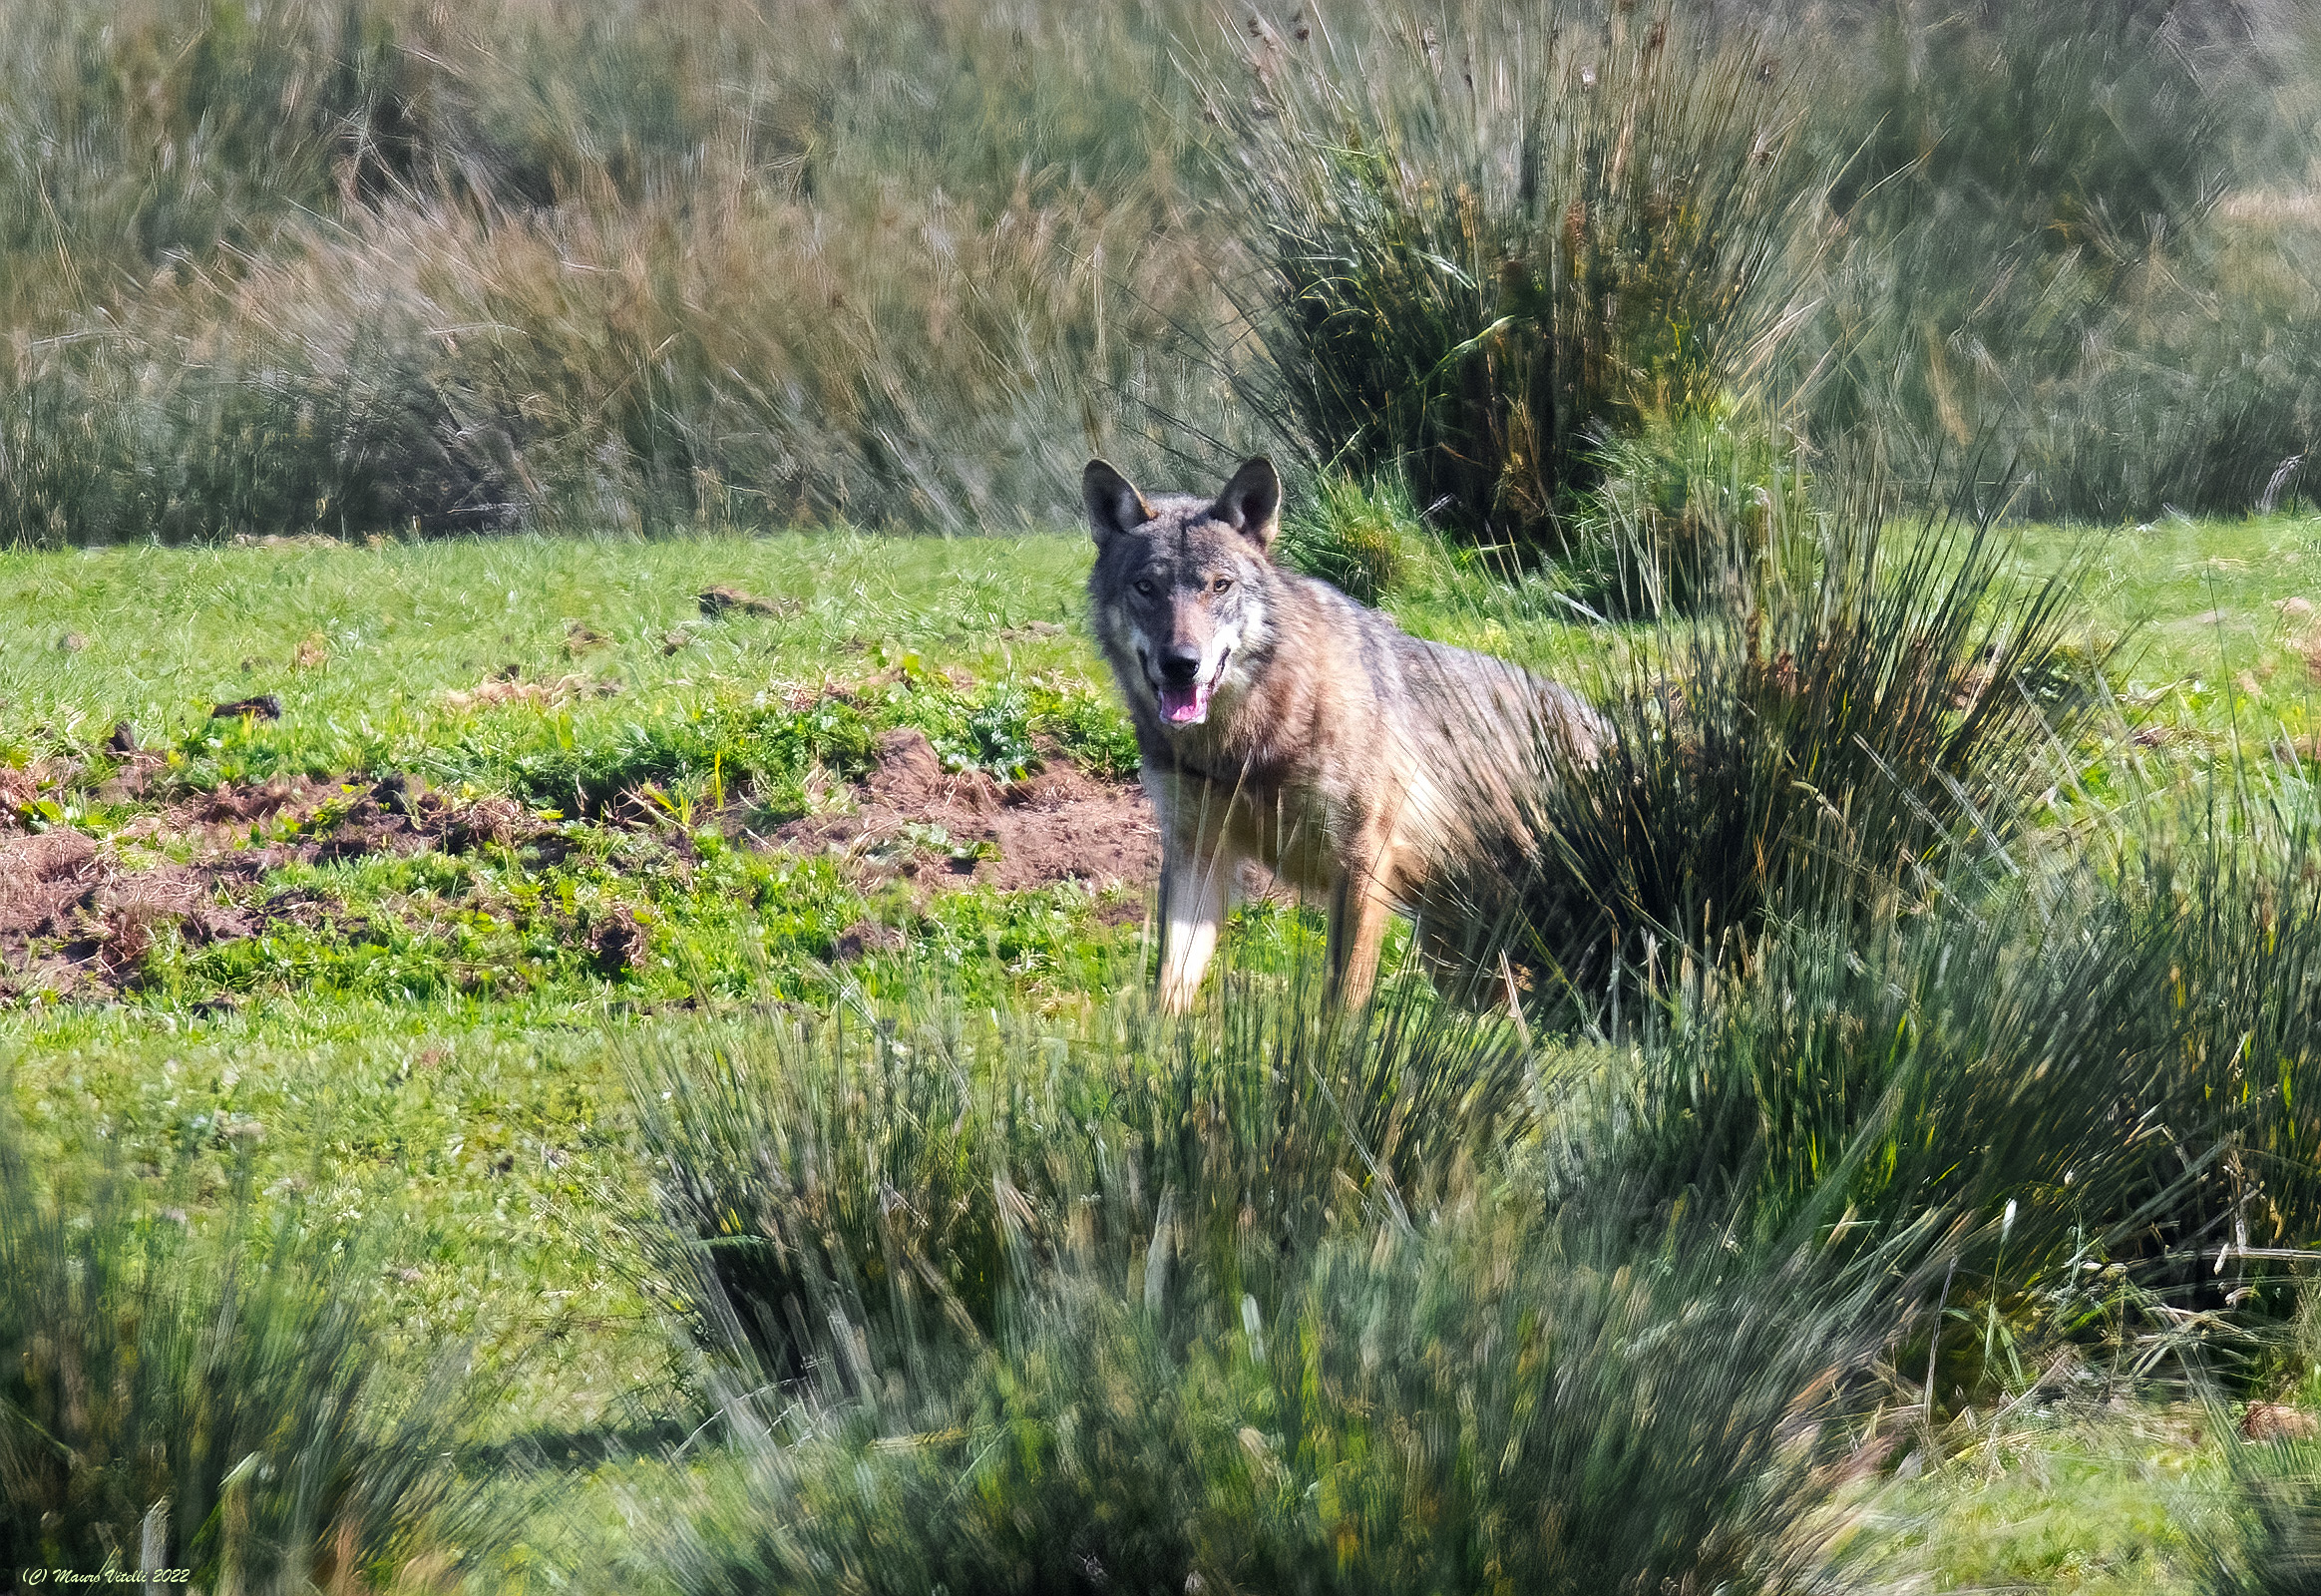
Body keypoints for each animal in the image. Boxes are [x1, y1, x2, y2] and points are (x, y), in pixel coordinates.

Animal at [1085, 455, 1608, 1013]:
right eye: (1146, 587)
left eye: (1220, 585)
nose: (1181, 665)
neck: (1245, 741)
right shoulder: (1195, 854)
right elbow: (1169, 986)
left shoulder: (1361, 860)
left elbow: (1342, 1001)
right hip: (1452, 959)